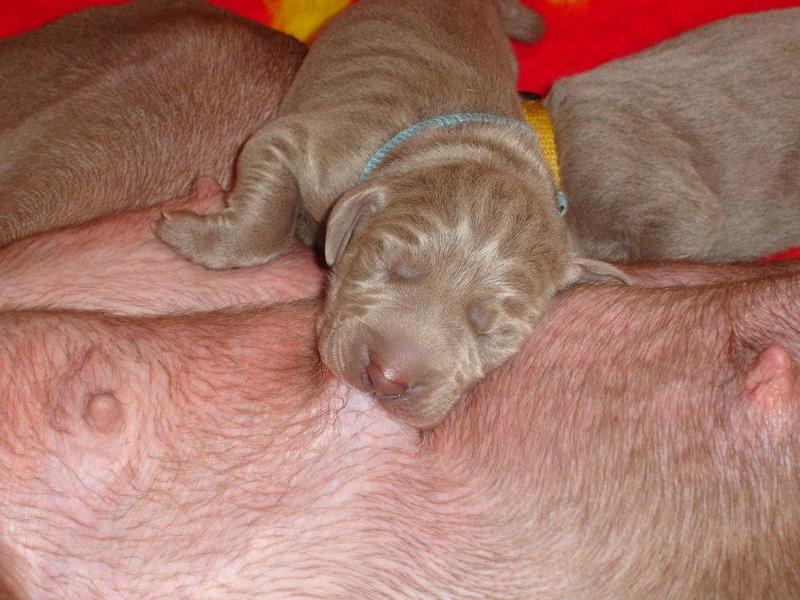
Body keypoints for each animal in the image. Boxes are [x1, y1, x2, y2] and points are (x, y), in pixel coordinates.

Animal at [156, 1, 624, 432]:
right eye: (387, 262)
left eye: (492, 328)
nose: (387, 378)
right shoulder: (300, 144)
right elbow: (265, 226)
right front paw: (186, 233)